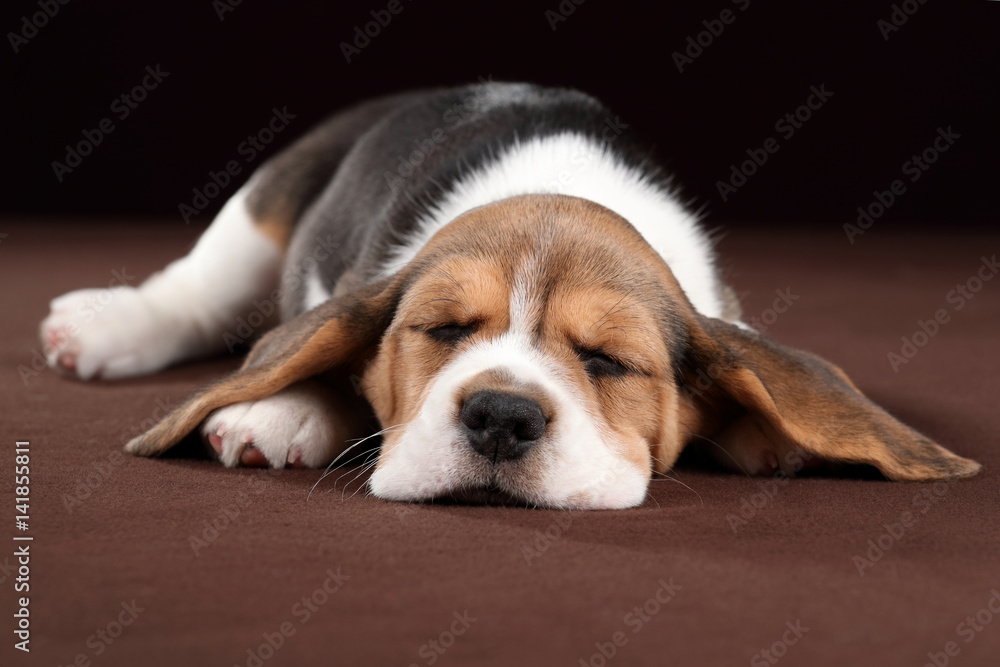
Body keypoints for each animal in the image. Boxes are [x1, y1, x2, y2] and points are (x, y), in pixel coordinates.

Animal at [39, 83, 976, 512]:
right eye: (443, 330)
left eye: (607, 361)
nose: (500, 415)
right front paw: (286, 406)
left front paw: (767, 429)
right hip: (266, 203)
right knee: (196, 290)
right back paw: (109, 330)